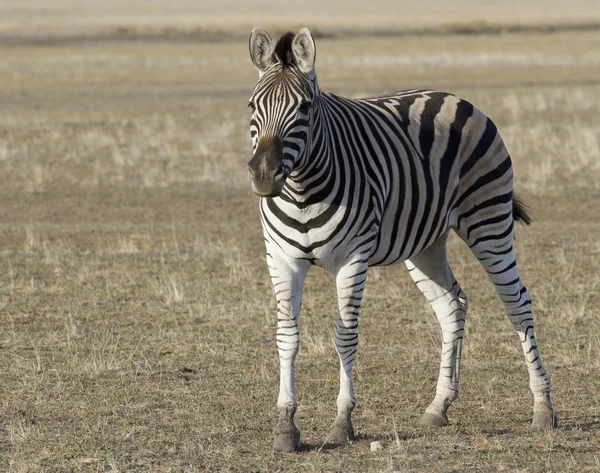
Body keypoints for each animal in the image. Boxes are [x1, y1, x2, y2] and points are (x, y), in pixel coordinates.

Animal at [245, 26, 556, 454]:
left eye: (305, 108)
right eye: (251, 106)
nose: (264, 174)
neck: (303, 191)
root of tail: (453, 97)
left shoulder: (352, 258)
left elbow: (345, 336)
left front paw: (342, 423)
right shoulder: (281, 258)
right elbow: (286, 338)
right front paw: (286, 426)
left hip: (488, 221)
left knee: (518, 304)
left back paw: (543, 408)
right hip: (425, 243)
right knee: (452, 305)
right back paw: (438, 407)